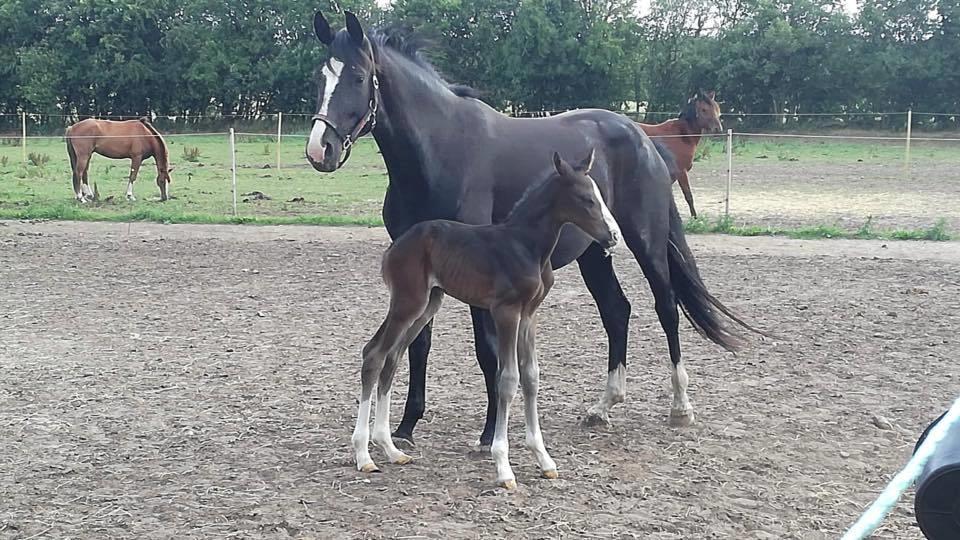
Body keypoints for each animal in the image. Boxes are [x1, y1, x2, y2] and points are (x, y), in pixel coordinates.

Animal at [352, 149, 624, 490]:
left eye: (599, 195)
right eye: (586, 199)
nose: (613, 236)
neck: (525, 245)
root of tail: (395, 247)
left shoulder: (529, 314)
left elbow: (531, 376)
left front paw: (544, 460)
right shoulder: (505, 311)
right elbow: (507, 379)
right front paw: (503, 467)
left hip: (428, 303)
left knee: (392, 357)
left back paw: (390, 449)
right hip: (408, 301)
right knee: (374, 354)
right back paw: (364, 455)